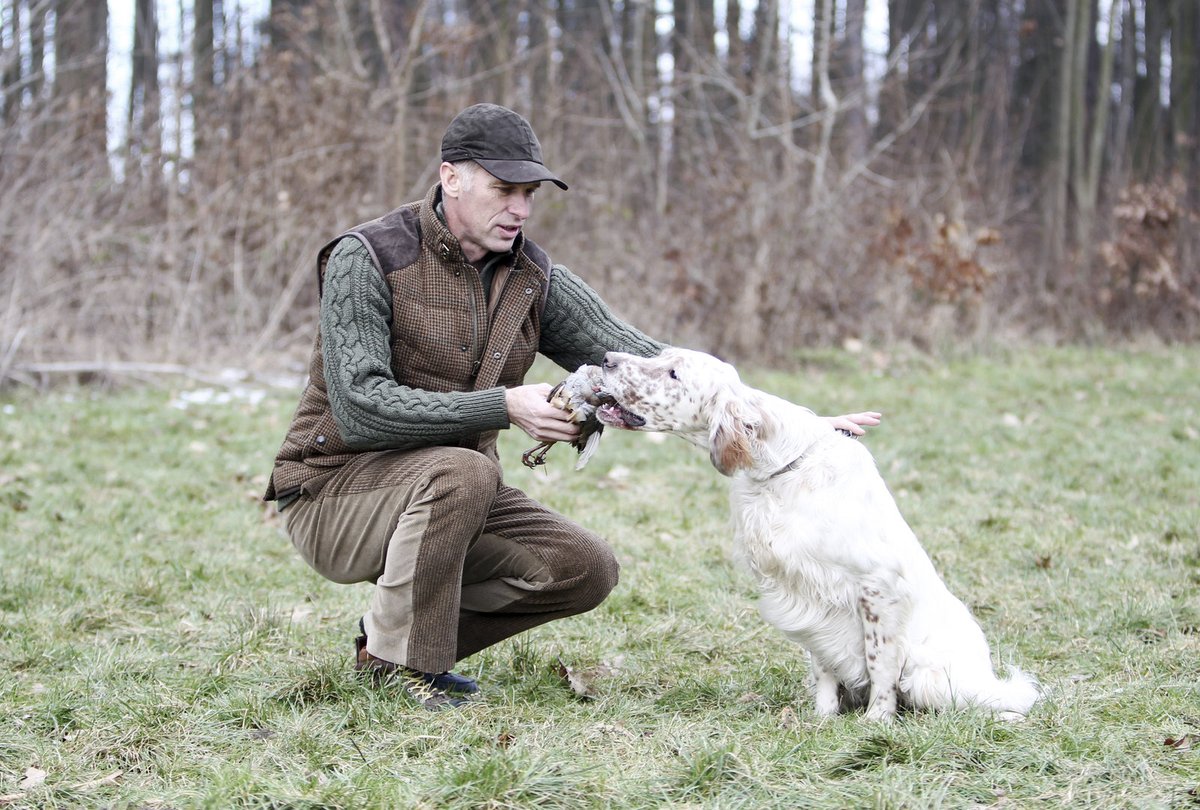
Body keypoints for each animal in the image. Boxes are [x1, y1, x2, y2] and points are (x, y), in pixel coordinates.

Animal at [595, 348, 1036, 724]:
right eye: (659, 356)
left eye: (673, 372)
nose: (606, 358)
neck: (780, 470)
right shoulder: (806, 595)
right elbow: (823, 662)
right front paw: (822, 716)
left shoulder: (877, 586)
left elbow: (879, 662)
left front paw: (877, 719)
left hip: (931, 679)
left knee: (995, 700)